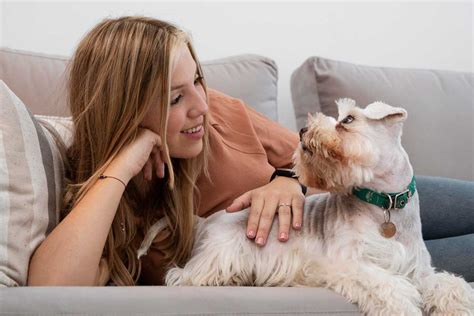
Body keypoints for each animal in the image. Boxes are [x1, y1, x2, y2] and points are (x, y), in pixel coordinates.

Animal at [139, 99, 472, 316]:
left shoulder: (419, 270)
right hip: (219, 256)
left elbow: (448, 284)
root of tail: (207, 220)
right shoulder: (350, 265)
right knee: (181, 276)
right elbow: (391, 288)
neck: (385, 203)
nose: (302, 130)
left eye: (348, 120)